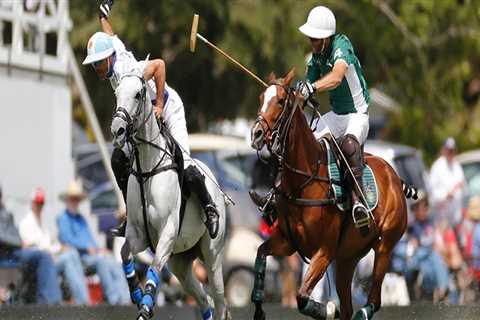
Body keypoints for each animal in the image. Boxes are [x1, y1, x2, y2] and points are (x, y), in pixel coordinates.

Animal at [111, 72, 231, 320]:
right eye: (117, 93)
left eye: (138, 94)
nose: (117, 130)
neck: (148, 170)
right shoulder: (138, 235)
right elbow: (125, 253)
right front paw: (136, 295)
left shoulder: (167, 232)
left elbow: (154, 268)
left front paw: (145, 309)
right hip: (181, 261)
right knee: (204, 299)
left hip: (213, 255)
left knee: (219, 301)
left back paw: (212, 217)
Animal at [249, 71, 410, 320]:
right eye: (260, 98)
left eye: (281, 101)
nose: (256, 134)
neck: (304, 182)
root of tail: (394, 177)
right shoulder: (287, 242)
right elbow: (260, 254)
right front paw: (259, 310)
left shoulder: (323, 252)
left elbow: (302, 297)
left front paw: (328, 310)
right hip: (347, 258)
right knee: (348, 303)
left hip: (385, 245)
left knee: (374, 299)